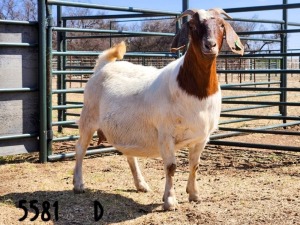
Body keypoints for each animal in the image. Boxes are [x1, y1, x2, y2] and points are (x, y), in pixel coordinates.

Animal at [73, 7, 244, 211]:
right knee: (80, 149)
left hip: (125, 129)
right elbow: (171, 167)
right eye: (193, 25)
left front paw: (194, 195)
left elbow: (195, 165)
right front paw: (170, 201)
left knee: (129, 154)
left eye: (221, 25)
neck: (195, 92)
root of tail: (103, 66)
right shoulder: (166, 134)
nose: (210, 45)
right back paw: (79, 184)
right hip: (88, 118)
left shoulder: (202, 137)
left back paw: (141, 184)